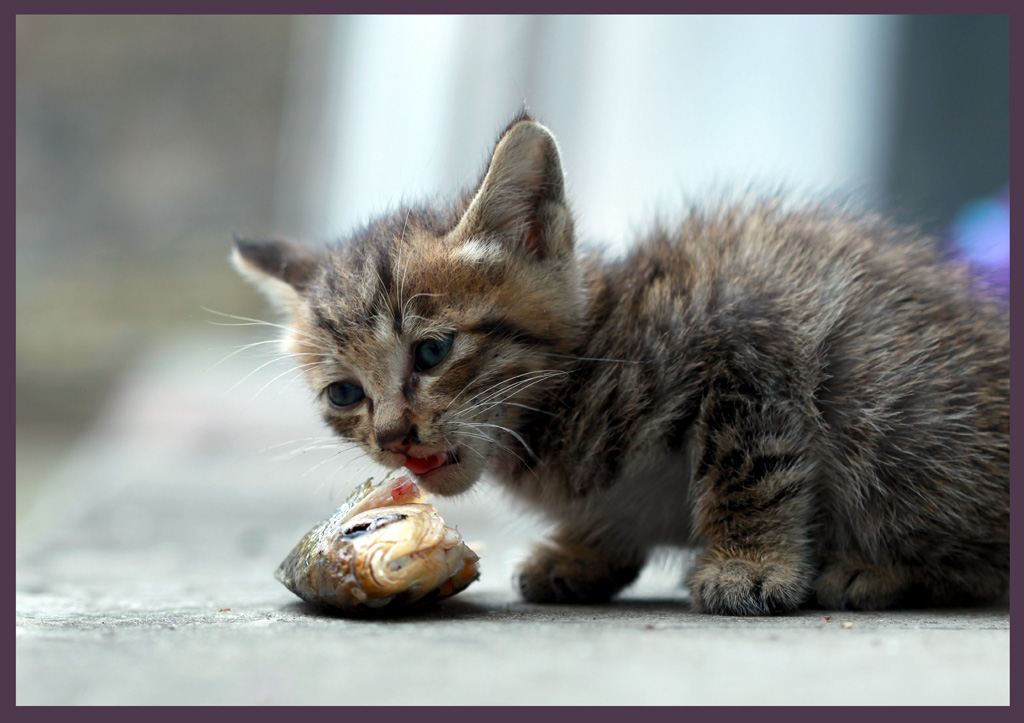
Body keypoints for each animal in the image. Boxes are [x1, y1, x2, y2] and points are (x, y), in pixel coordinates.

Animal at [235, 112, 1011, 614]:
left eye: (432, 351)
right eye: (343, 394)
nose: (394, 438)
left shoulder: (754, 337)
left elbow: (750, 468)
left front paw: (748, 564)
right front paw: (585, 551)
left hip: (896, 415)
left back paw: (875, 571)